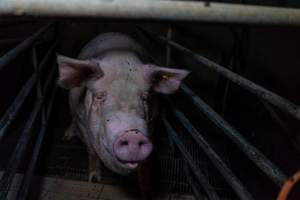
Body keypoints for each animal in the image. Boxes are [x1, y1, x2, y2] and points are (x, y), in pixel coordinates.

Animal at [56, 32, 190, 181]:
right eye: (100, 96)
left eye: (144, 97)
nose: (133, 134)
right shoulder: (81, 120)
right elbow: (92, 152)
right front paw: (94, 179)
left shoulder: (153, 120)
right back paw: (66, 137)